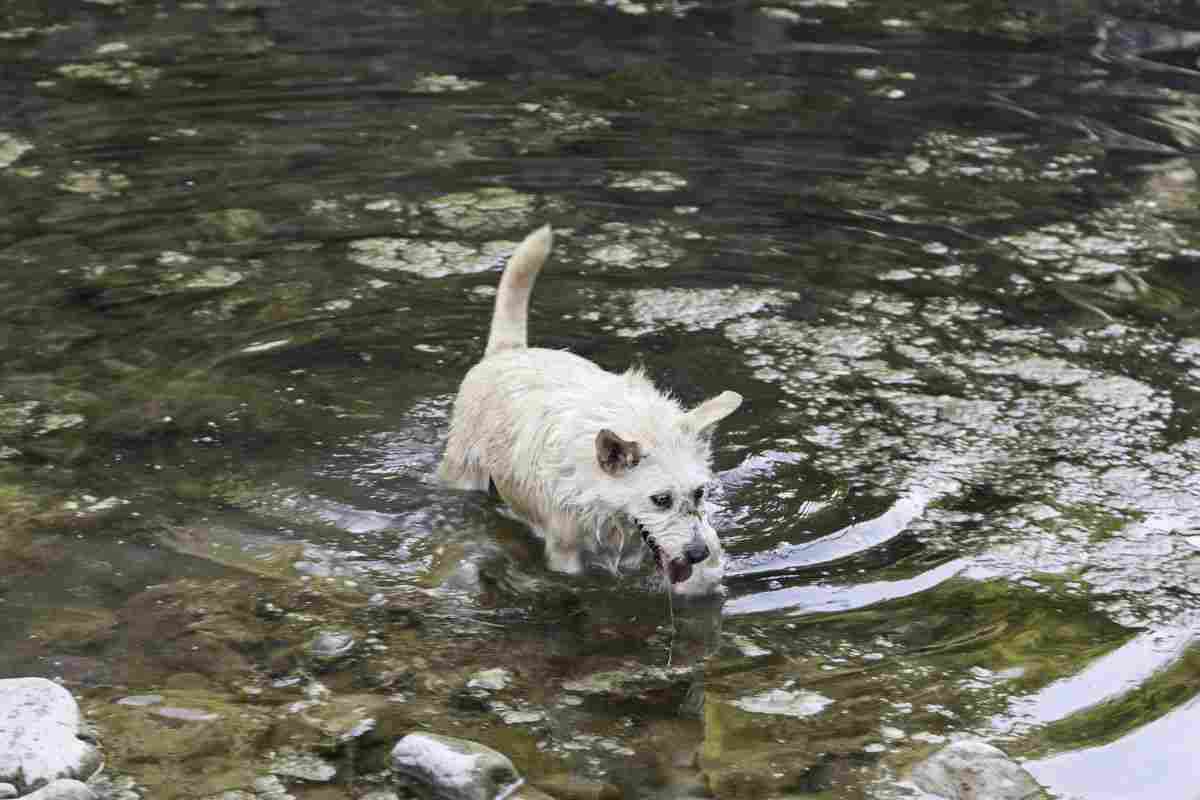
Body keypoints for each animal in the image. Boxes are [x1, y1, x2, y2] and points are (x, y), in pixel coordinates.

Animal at [439, 225, 739, 594]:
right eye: (660, 500)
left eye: (699, 493)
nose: (697, 553)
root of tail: (509, 351)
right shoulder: (564, 551)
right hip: (463, 470)